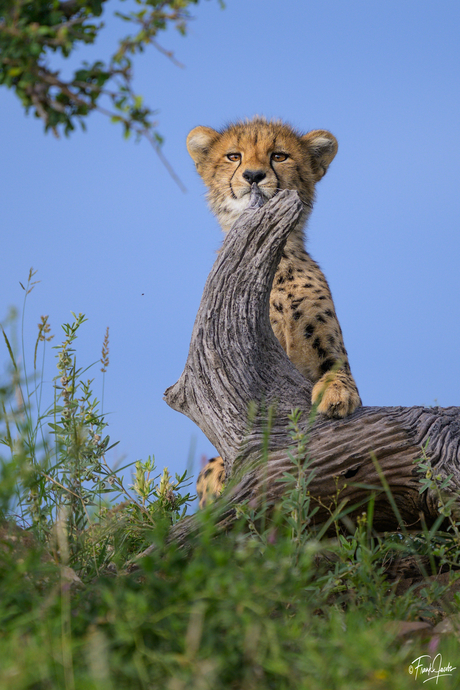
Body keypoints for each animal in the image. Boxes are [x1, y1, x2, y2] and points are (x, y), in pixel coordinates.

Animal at [187, 116, 361, 508]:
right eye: (233, 156)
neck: (274, 264)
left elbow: (339, 372)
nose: (253, 176)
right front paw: (219, 475)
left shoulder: (327, 347)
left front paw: (337, 395)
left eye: (279, 156)